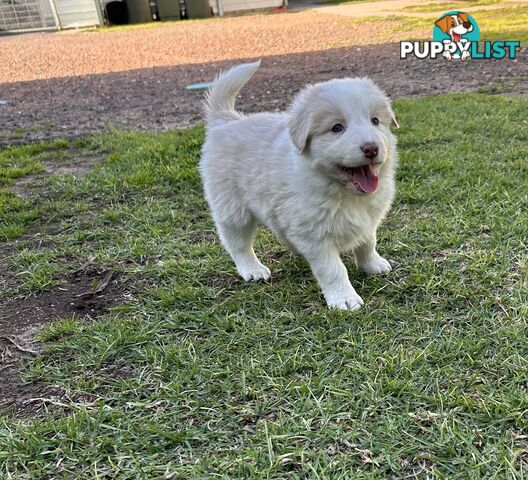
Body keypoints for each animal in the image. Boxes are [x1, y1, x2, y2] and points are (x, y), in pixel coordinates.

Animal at [200, 61, 398, 312]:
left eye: (375, 121)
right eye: (336, 128)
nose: (371, 148)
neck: (342, 192)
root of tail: (227, 119)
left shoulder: (368, 219)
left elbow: (368, 242)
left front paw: (373, 265)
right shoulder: (315, 235)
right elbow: (333, 268)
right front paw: (344, 298)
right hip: (232, 208)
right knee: (237, 243)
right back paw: (252, 269)